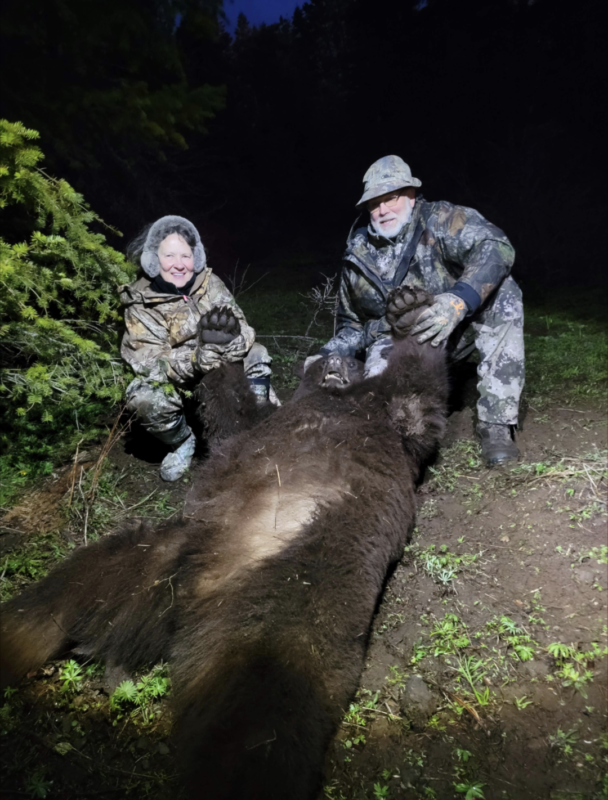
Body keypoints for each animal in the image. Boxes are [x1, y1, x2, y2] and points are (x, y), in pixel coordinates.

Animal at [0, 288, 446, 800]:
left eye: (353, 361)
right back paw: (16, 635)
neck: (334, 398)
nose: (334, 357)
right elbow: (234, 414)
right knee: (71, 588)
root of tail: (193, 592)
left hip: (292, 599)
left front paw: (411, 312)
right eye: (323, 360)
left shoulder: (391, 421)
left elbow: (417, 398)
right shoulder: (271, 418)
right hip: (159, 551)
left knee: (260, 711)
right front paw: (216, 332)